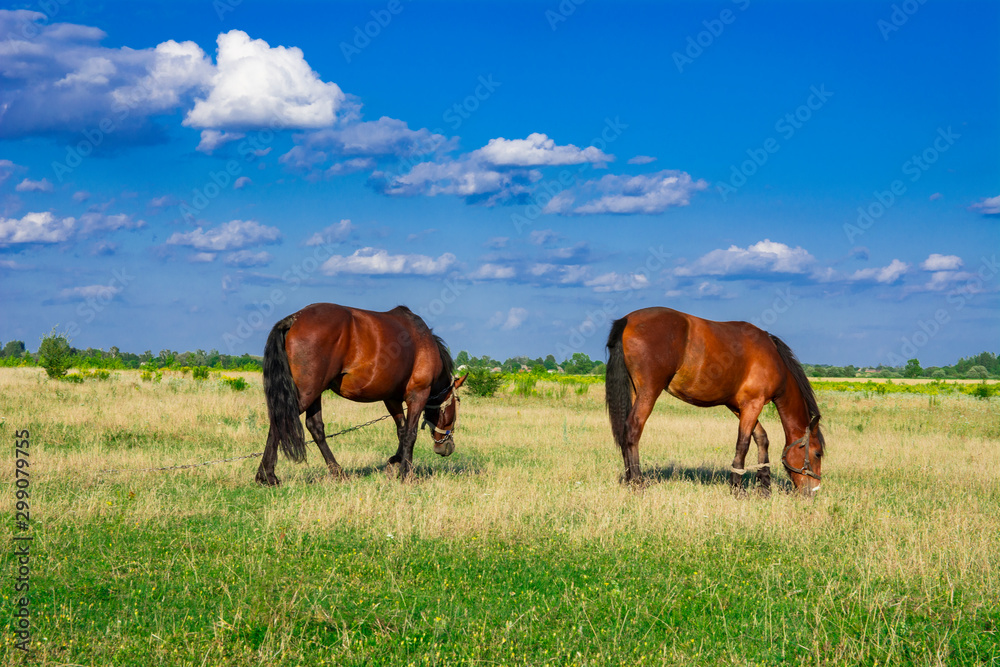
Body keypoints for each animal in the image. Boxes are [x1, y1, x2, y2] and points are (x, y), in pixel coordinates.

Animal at [260, 304, 466, 486]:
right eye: (455, 408)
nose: (447, 447)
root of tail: (295, 318)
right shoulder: (418, 395)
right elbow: (410, 433)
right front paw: (406, 474)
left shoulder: (391, 398)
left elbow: (401, 430)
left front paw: (395, 462)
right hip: (307, 393)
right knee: (282, 421)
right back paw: (268, 475)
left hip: (315, 392)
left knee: (315, 427)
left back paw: (337, 472)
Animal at [604, 308, 824, 496]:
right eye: (818, 453)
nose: (813, 492)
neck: (773, 358)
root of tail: (627, 320)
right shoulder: (753, 404)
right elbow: (743, 444)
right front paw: (737, 488)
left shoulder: (739, 407)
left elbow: (762, 438)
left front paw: (764, 487)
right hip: (649, 392)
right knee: (633, 429)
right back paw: (637, 483)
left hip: (635, 392)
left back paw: (629, 479)